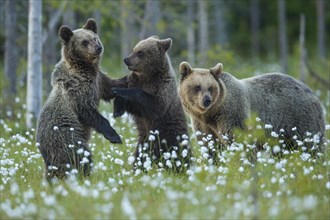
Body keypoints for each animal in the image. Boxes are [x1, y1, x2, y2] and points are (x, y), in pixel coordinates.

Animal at [36, 18, 127, 181]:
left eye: (95, 38)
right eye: (84, 42)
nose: (98, 48)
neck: (85, 68)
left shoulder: (98, 81)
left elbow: (111, 86)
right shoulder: (77, 89)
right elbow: (89, 111)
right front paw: (114, 136)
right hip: (66, 138)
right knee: (80, 156)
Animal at [113, 36, 191, 171]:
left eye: (140, 52)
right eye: (133, 49)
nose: (126, 60)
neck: (148, 76)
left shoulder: (162, 88)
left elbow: (154, 105)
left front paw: (119, 92)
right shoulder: (134, 81)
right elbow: (134, 106)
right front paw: (117, 108)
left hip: (171, 137)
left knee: (180, 155)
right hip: (144, 142)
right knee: (139, 157)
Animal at [178, 62, 324, 154]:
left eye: (210, 87)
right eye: (197, 87)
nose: (206, 100)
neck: (213, 113)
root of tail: (312, 92)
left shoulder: (232, 114)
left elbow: (238, 139)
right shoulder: (202, 124)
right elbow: (208, 144)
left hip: (300, 117)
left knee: (311, 143)